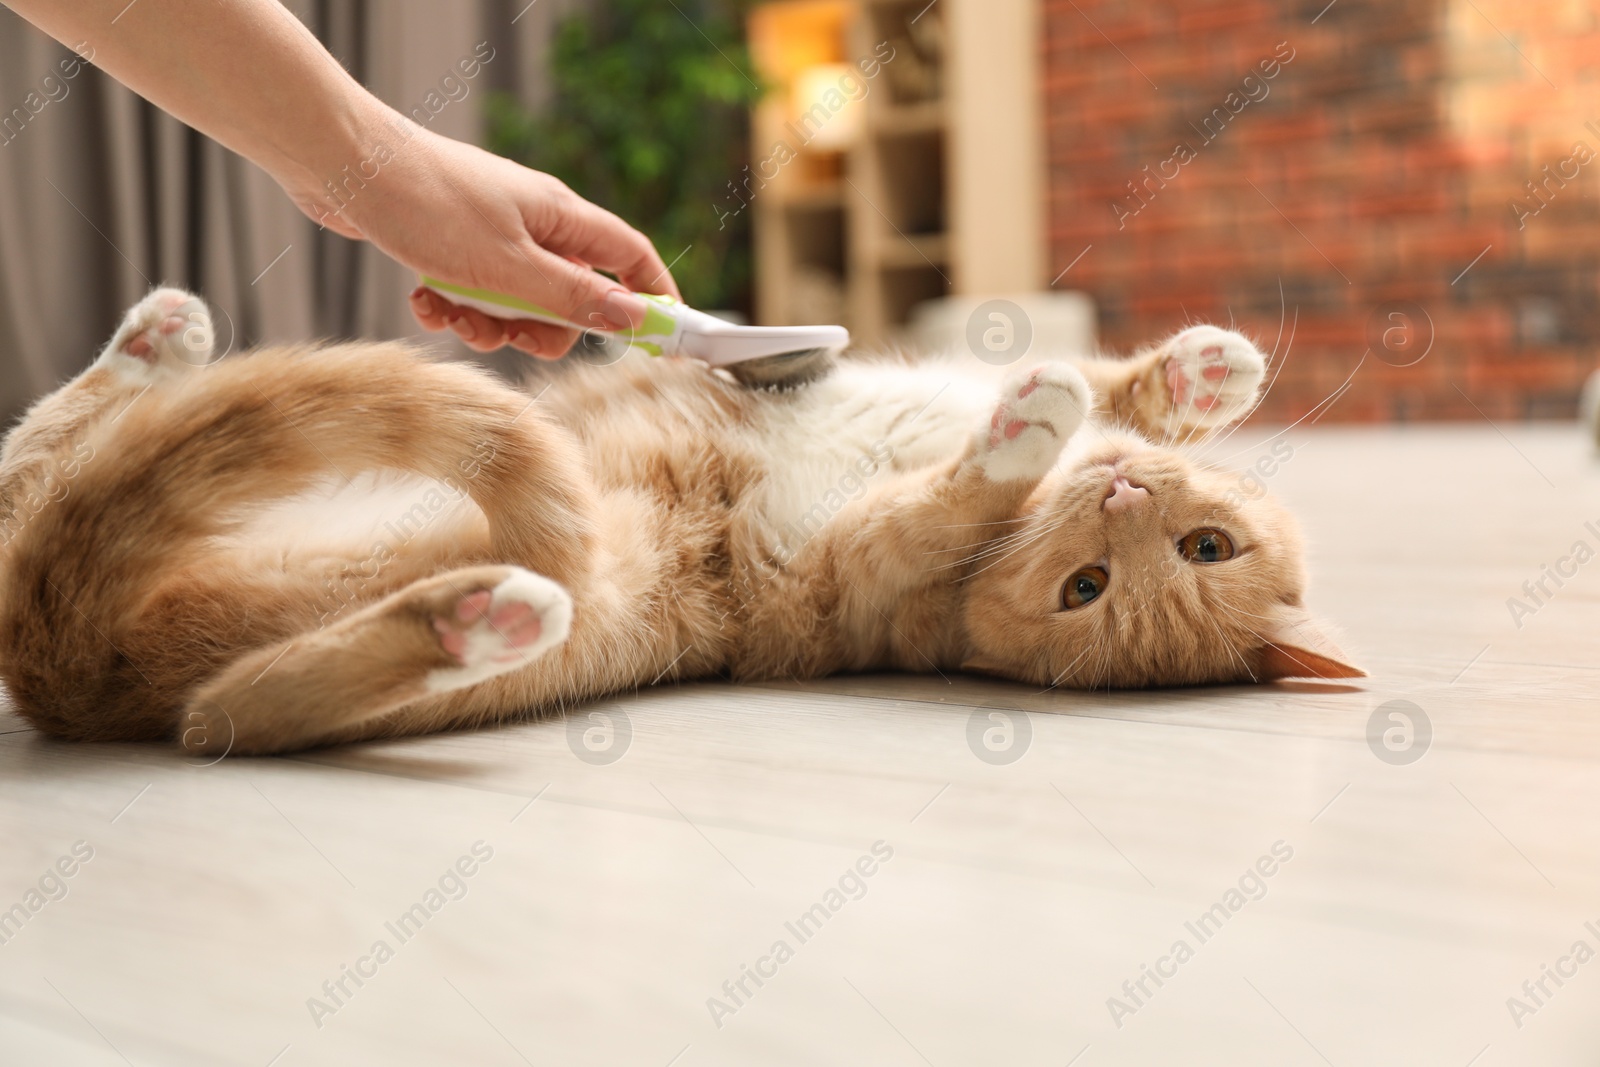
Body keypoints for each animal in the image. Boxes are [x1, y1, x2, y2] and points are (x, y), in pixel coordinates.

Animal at [0, 287, 1363, 755]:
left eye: (1091, 589)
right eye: (1207, 543)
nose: (1120, 500)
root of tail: (71, 668)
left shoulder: (857, 565)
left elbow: (945, 495)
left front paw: (1024, 435)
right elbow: (1111, 392)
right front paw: (1199, 372)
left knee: (234, 709)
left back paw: (478, 616)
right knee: (32, 460)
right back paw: (156, 336)